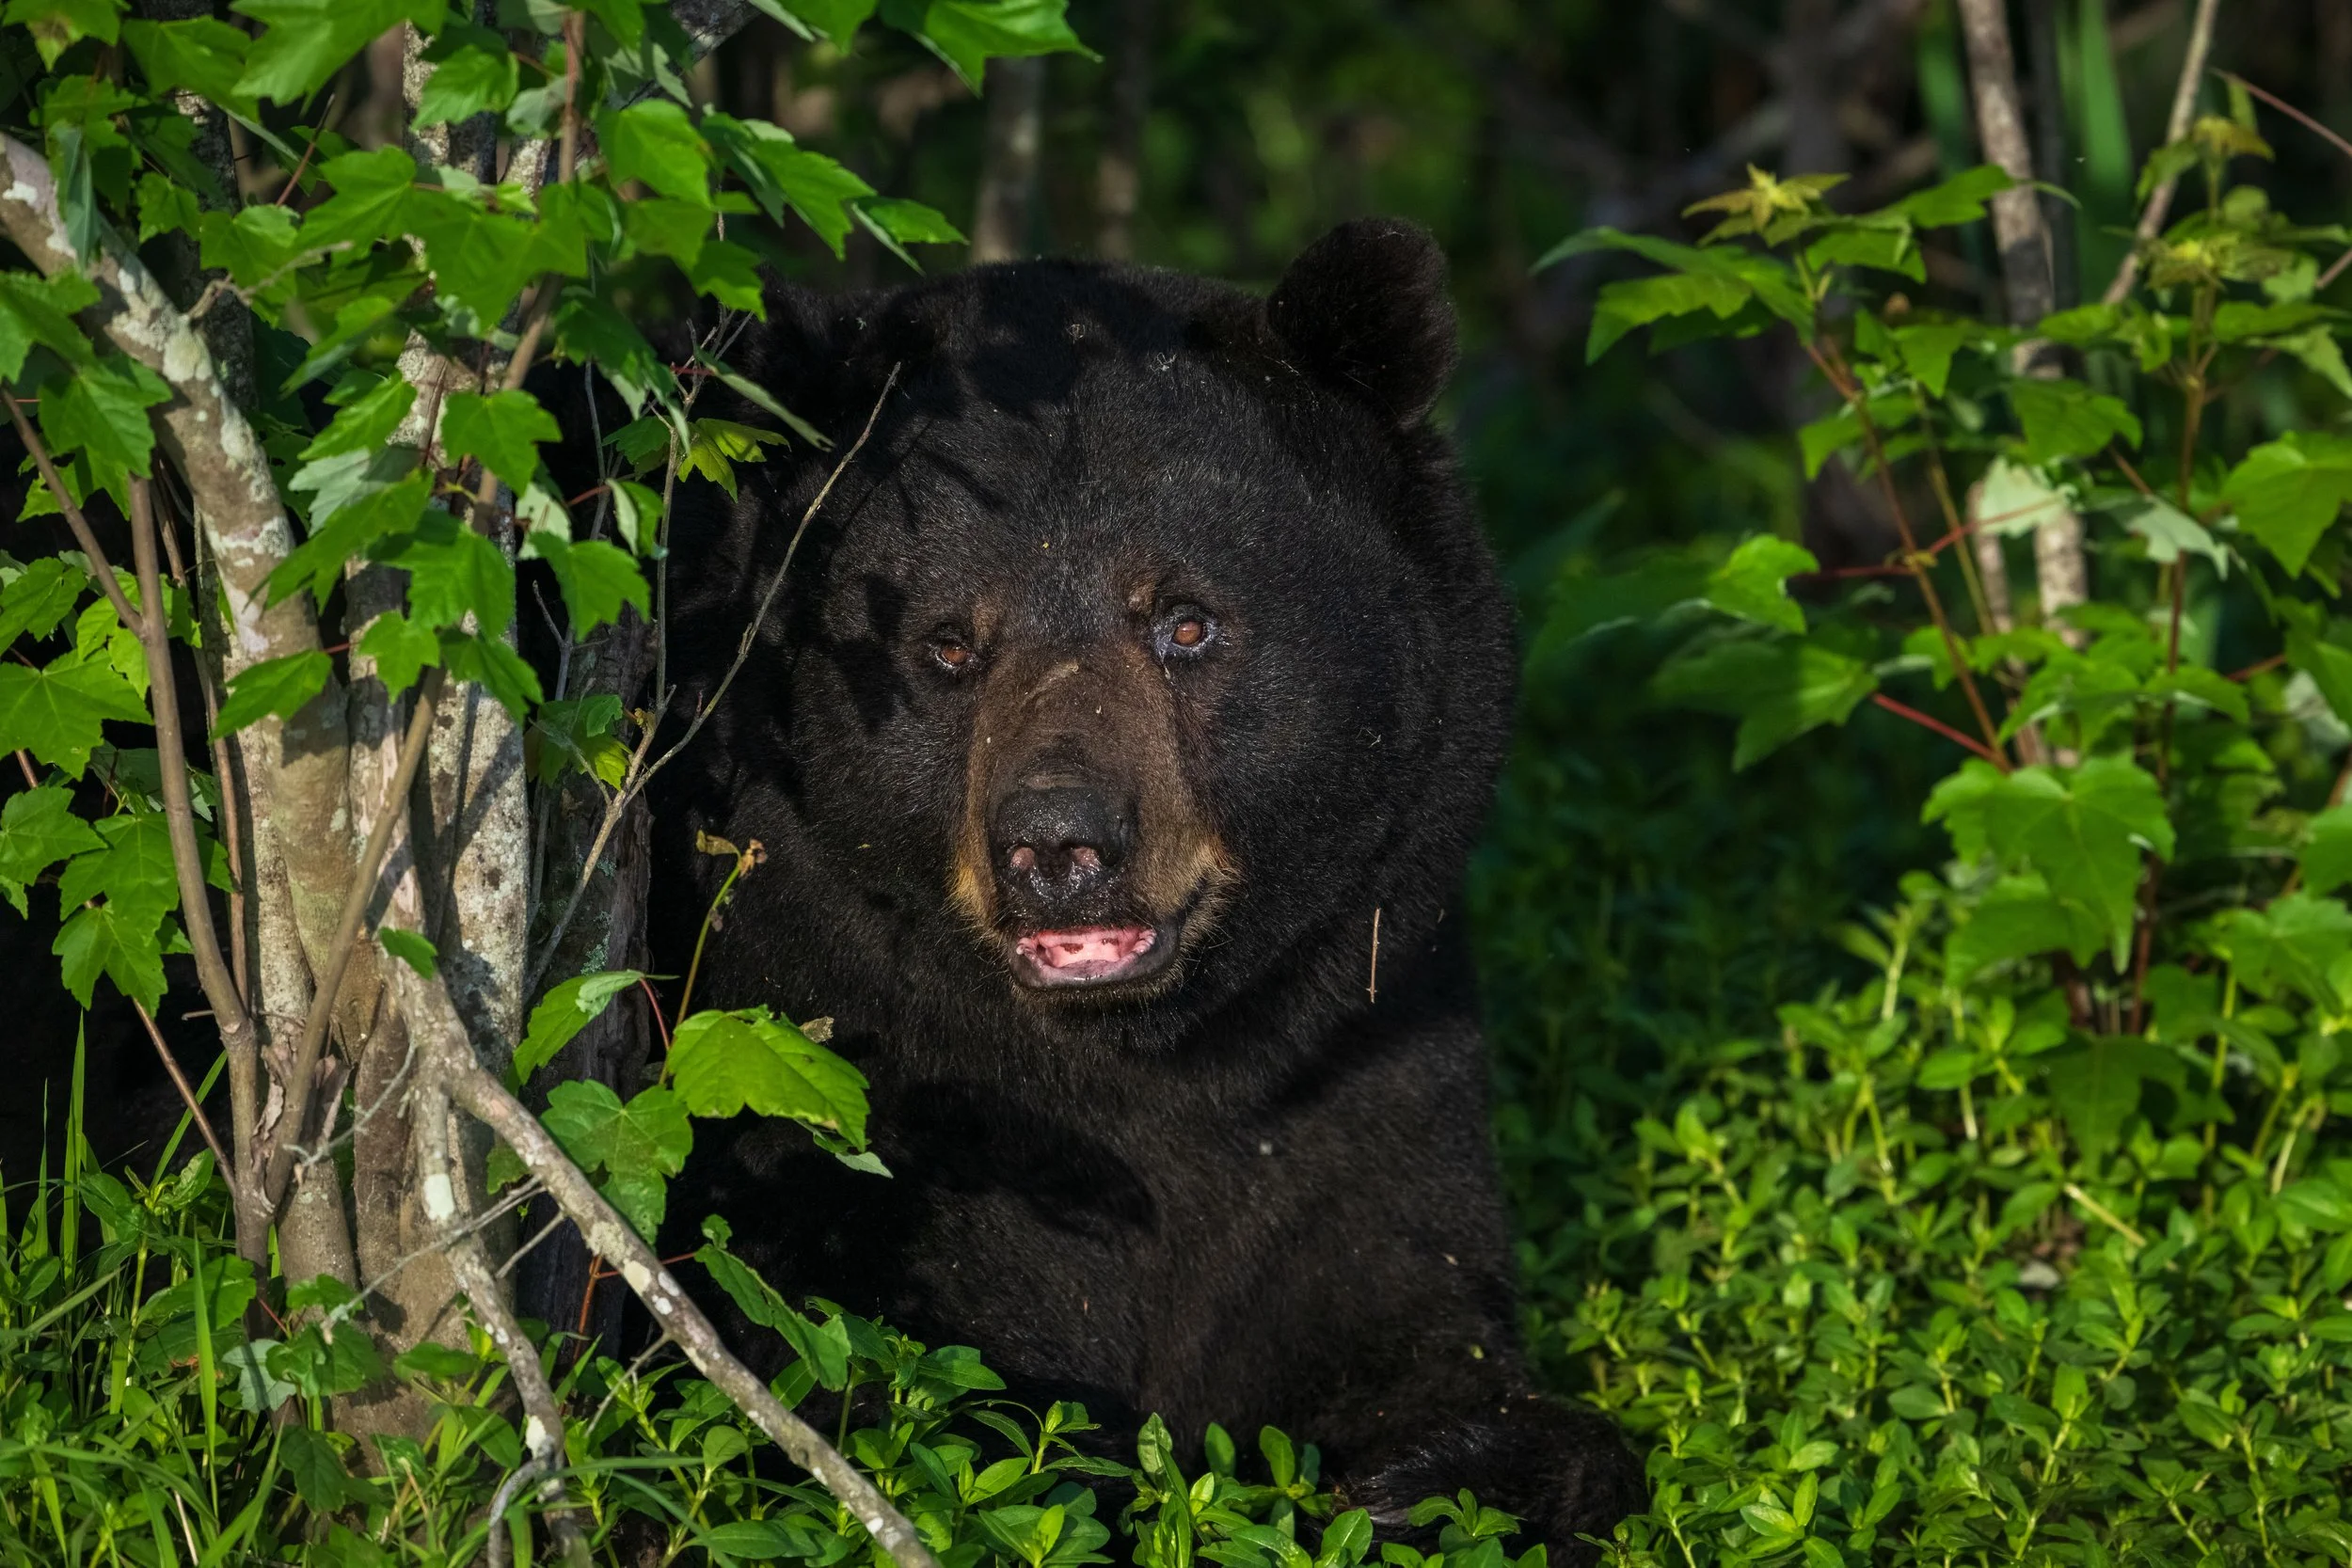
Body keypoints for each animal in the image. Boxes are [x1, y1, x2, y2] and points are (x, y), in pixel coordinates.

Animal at [636, 218, 1646, 1558]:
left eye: (1185, 621)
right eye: (947, 643)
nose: (1059, 843)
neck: (1142, 1067)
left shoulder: (1366, 1049)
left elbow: (1415, 1313)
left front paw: (1430, 1477)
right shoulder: (831, 1095)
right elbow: (938, 1407)